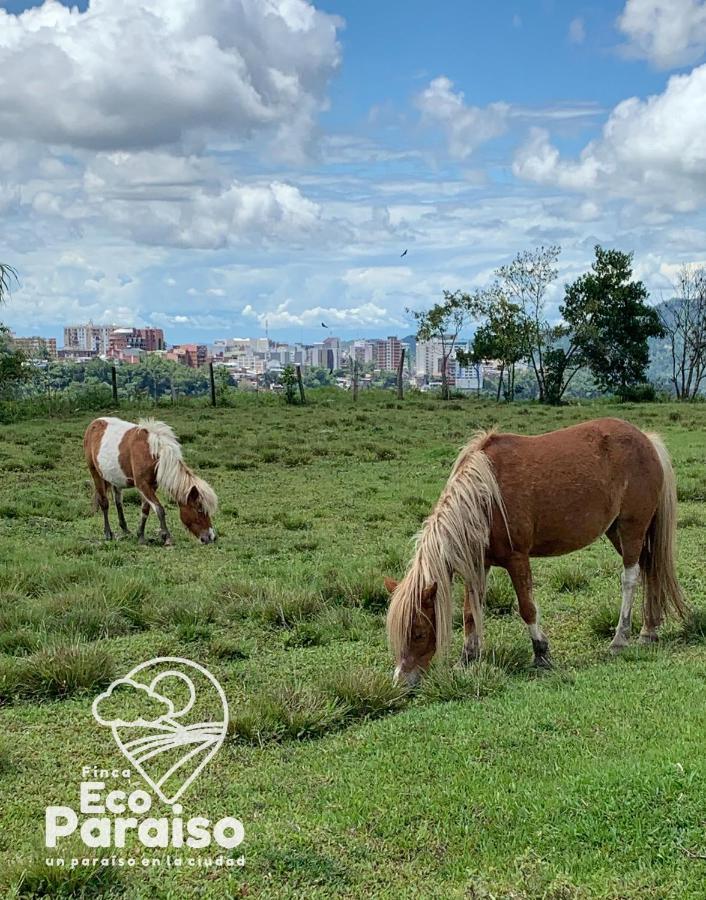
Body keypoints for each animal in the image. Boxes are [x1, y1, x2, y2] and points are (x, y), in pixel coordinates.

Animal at [83, 416, 216, 548]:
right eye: (199, 510)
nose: (211, 537)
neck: (154, 453)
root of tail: (94, 423)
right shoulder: (142, 484)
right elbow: (159, 509)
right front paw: (167, 537)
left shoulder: (152, 485)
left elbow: (145, 510)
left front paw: (141, 536)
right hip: (95, 473)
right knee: (104, 502)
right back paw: (108, 533)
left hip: (116, 478)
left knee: (118, 502)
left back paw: (125, 530)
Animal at [388, 418, 684, 684]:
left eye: (418, 633)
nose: (402, 681)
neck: (485, 496)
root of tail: (647, 440)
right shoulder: (479, 563)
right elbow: (471, 612)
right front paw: (466, 659)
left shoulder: (517, 559)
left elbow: (527, 608)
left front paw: (541, 653)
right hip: (616, 531)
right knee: (649, 569)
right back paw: (649, 630)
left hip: (632, 527)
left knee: (630, 578)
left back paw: (620, 639)